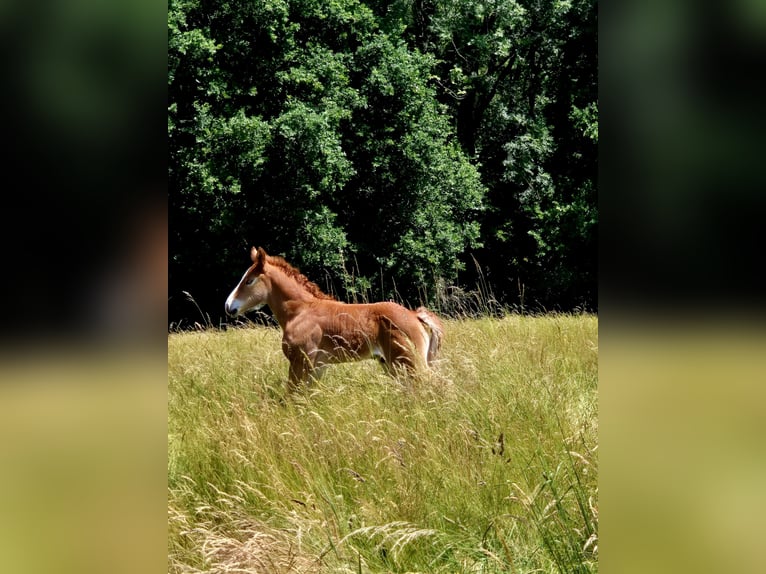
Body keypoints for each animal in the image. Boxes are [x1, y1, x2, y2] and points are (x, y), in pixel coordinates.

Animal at [224, 247, 444, 391]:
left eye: (249, 280)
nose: (228, 306)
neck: (301, 311)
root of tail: (414, 315)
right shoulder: (318, 367)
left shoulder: (300, 361)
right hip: (394, 365)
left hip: (410, 362)